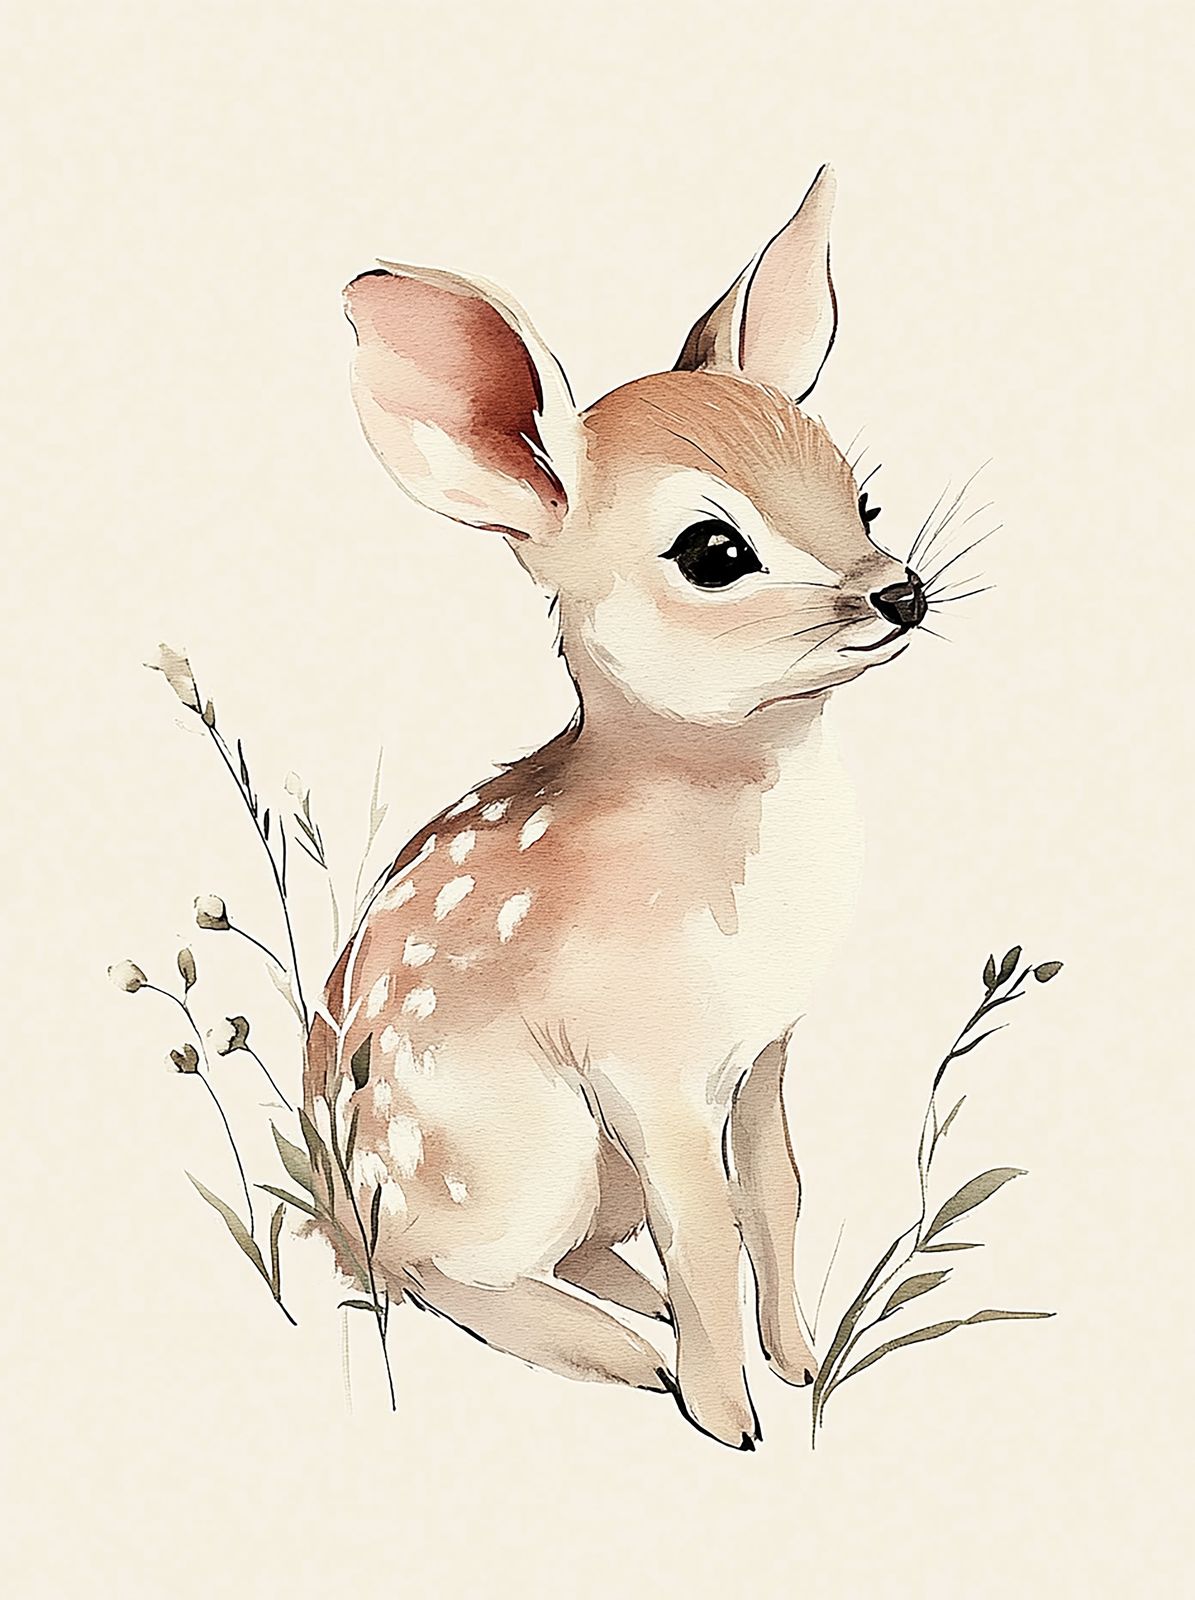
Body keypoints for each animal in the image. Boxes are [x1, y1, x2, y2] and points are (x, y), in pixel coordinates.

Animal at [304, 166, 928, 1449]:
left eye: (864, 499)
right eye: (711, 548)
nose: (900, 593)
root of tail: (330, 1202)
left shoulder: (763, 1048)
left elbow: (774, 1198)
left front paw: (799, 1367)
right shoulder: (642, 1064)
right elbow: (708, 1231)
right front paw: (731, 1420)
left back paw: (637, 1322)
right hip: (513, 1150)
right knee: (429, 1271)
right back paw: (627, 1357)